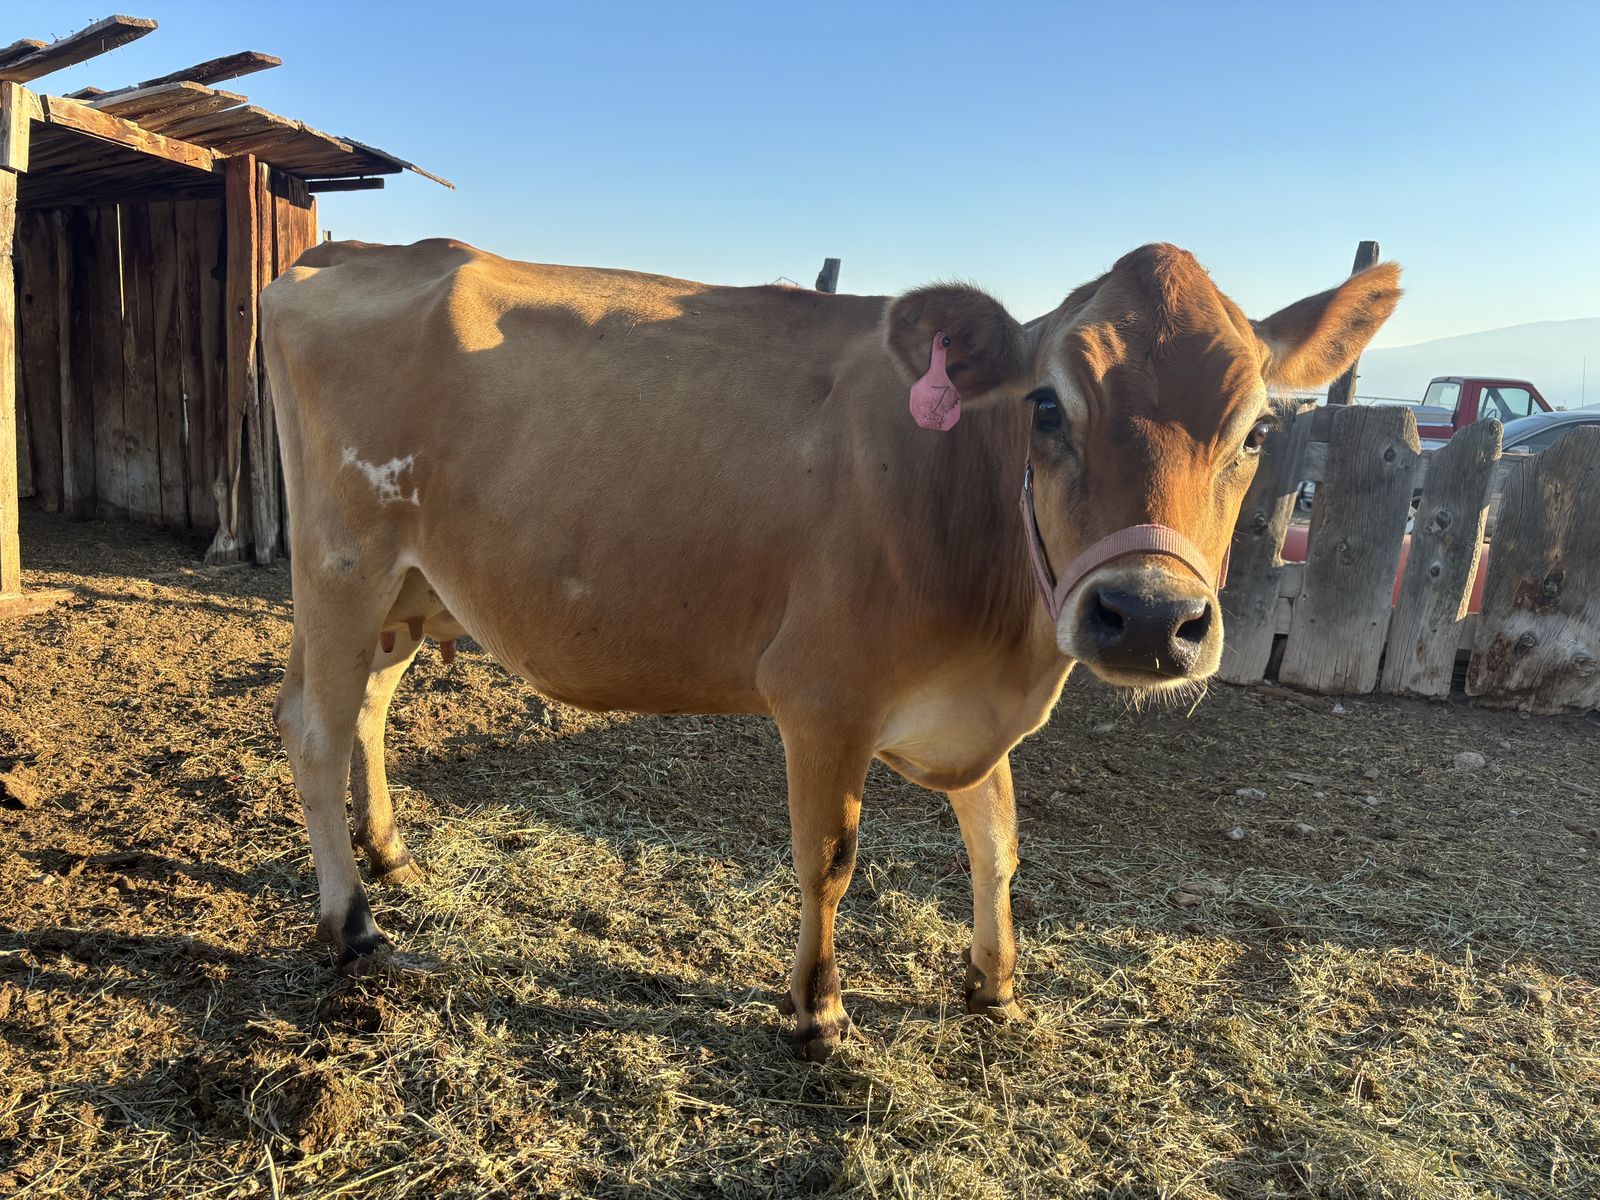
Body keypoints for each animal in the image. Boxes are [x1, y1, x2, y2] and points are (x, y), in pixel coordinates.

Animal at [264, 241, 1399, 1060]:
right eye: (1047, 405)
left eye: (1259, 431)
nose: (1152, 616)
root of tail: (351, 252)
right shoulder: (821, 694)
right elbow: (830, 857)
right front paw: (818, 1011)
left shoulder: (972, 711)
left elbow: (998, 842)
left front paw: (995, 987)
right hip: (341, 559)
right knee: (313, 726)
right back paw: (351, 921)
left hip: (410, 590)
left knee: (365, 708)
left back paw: (389, 849)